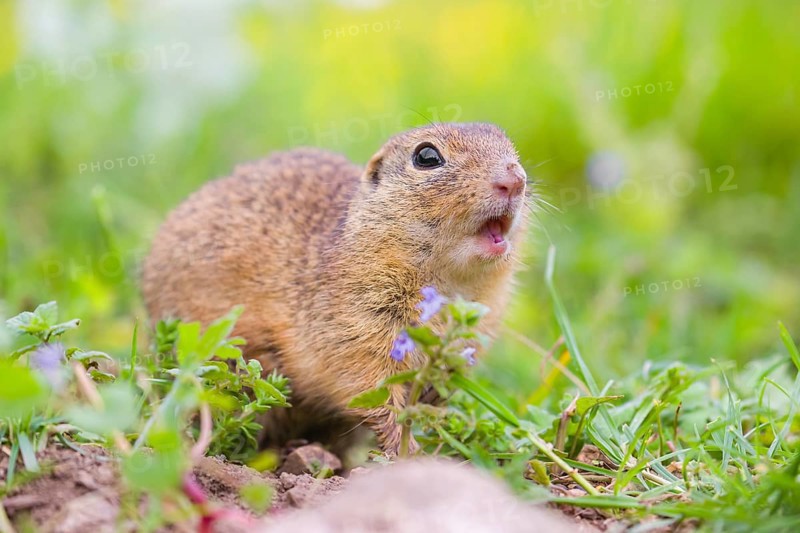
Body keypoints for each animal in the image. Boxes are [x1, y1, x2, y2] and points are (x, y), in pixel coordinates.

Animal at [141, 122, 530, 454]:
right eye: (426, 156)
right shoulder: (358, 330)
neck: (449, 283)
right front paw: (409, 451)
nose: (515, 179)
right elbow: (373, 394)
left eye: (507, 143)